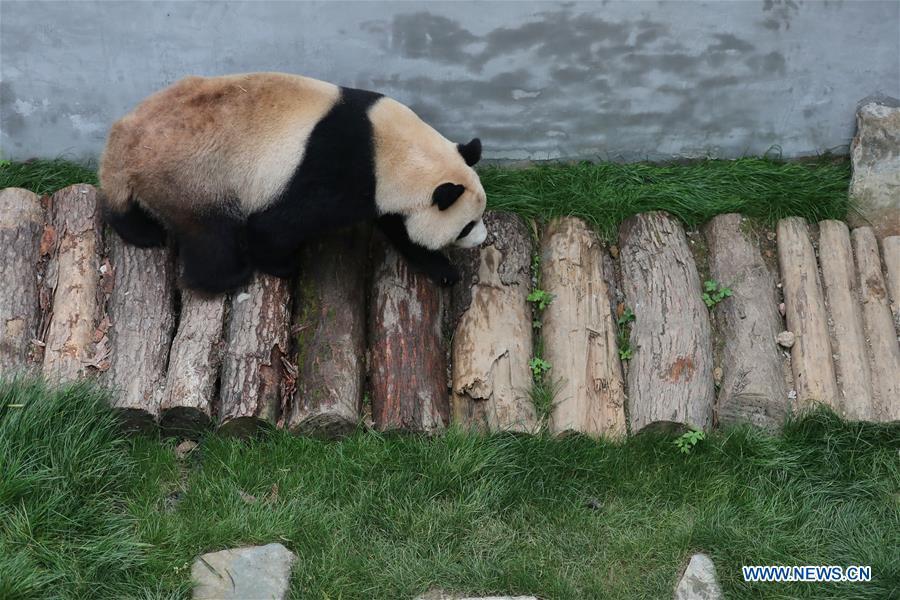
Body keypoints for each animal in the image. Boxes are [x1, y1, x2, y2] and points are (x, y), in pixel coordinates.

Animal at [97, 72, 486, 292]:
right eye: (467, 226)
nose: (482, 240)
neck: (393, 148)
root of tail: (125, 142)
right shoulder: (334, 172)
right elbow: (276, 225)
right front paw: (283, 267)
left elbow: (399, 228)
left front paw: (442, 270)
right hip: (194, 175)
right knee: (210, 233)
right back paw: (228, 278)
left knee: (125, 204)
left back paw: (141, 232)